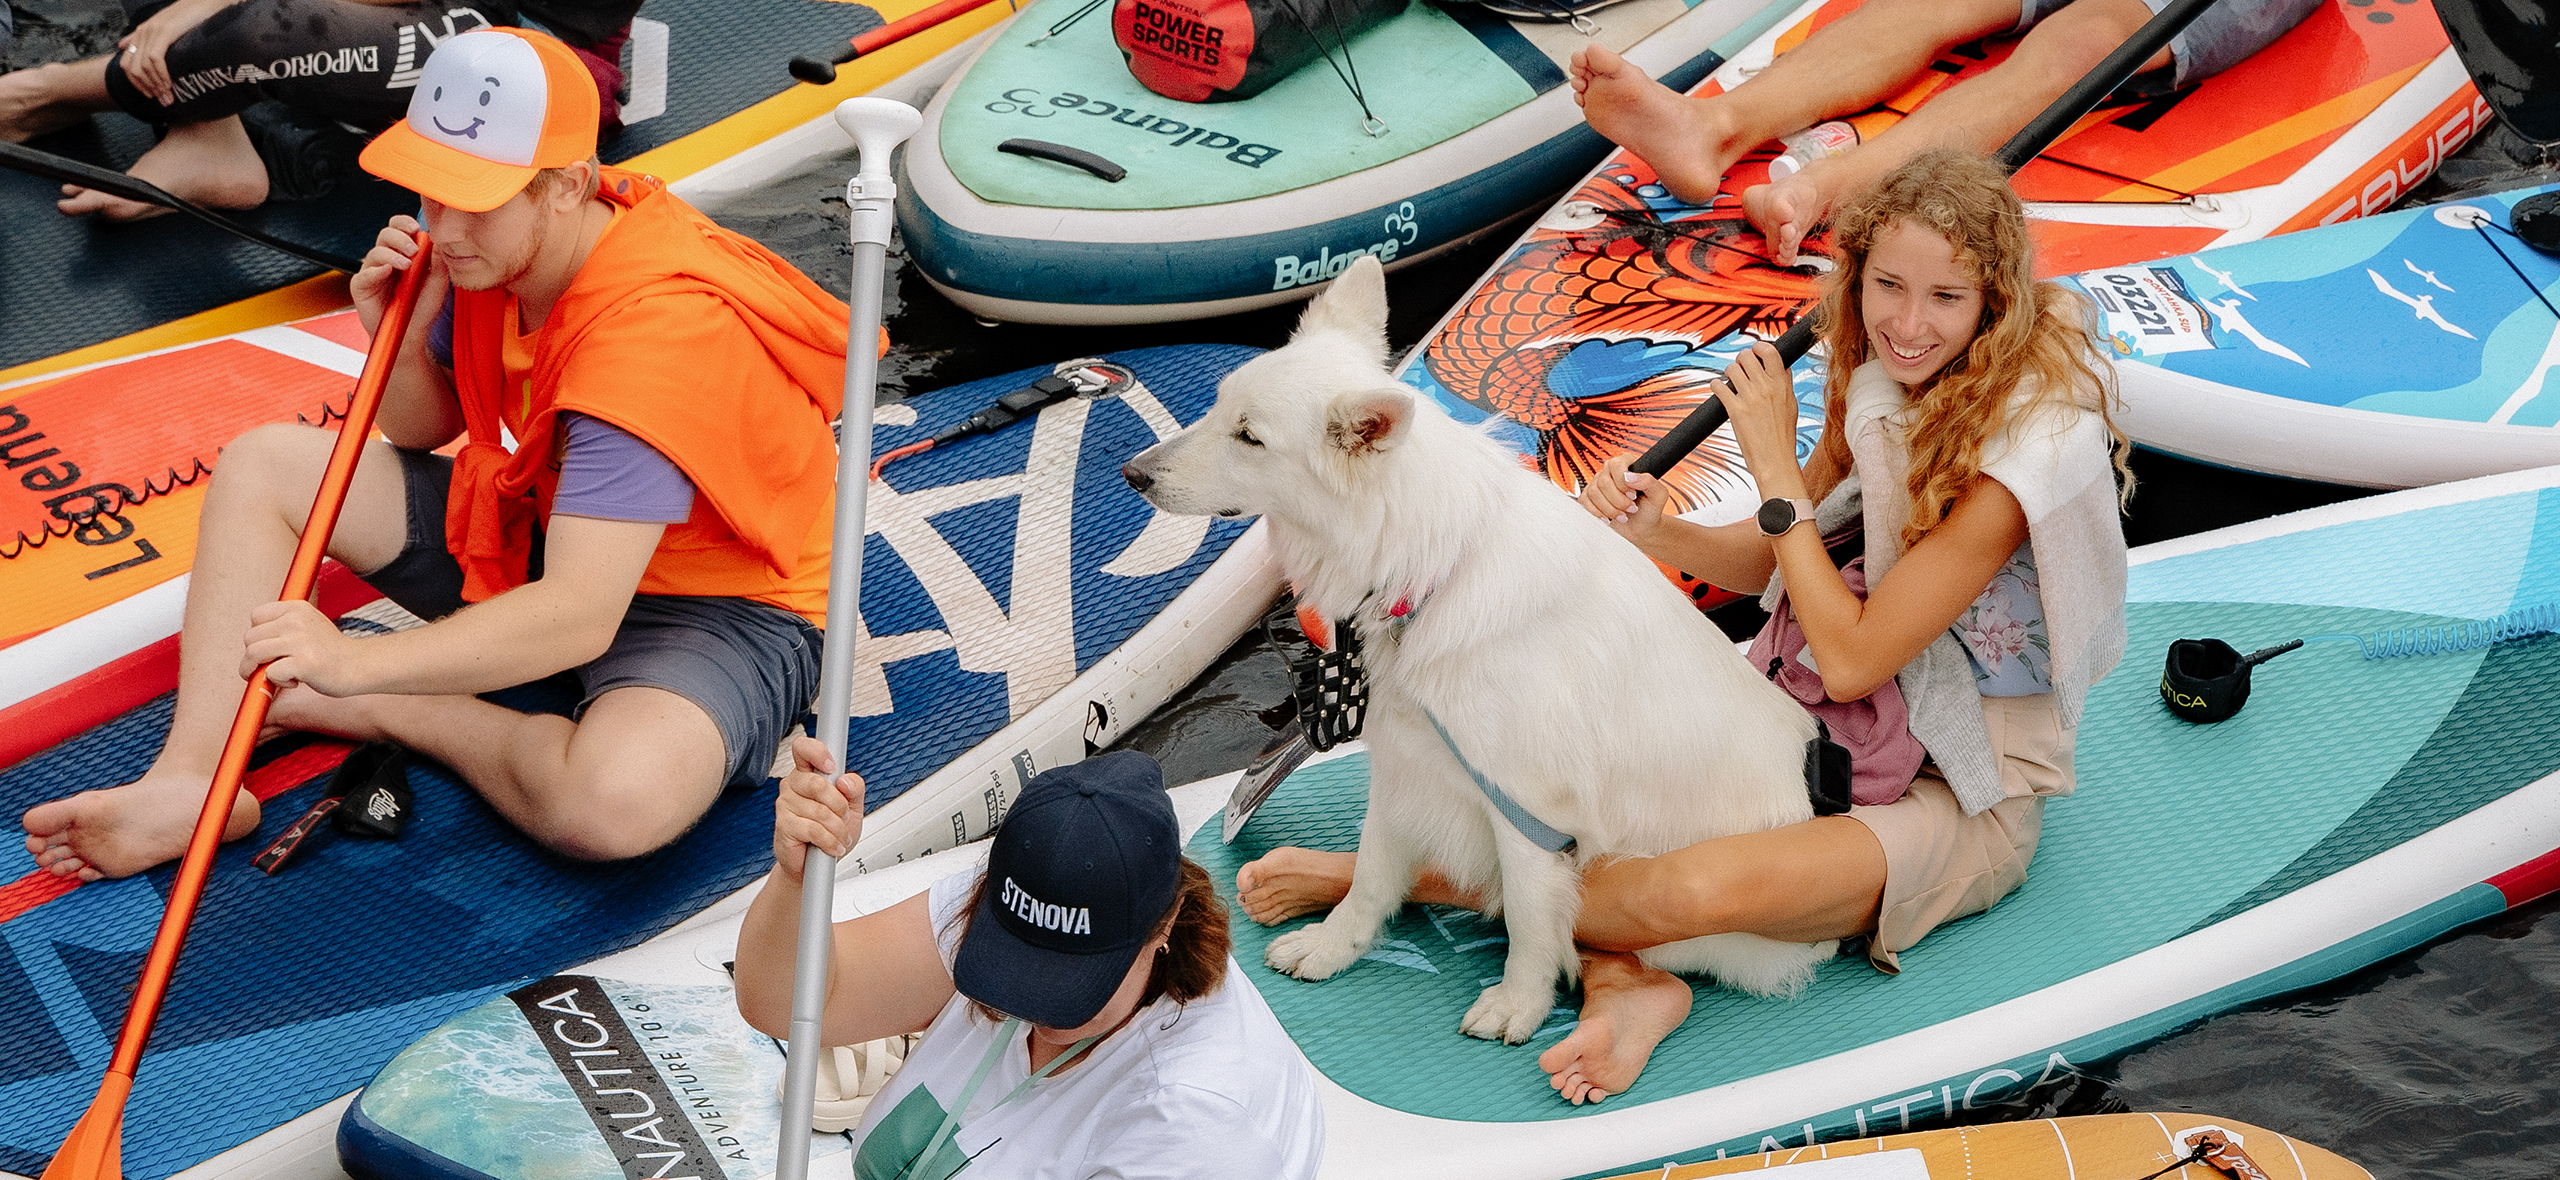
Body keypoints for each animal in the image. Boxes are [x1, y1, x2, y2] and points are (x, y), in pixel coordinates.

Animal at [1121, 257, 1822, 1039]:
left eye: (1249, 437)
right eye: (1218, 408)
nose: (1132, 474)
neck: (1429, 573)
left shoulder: (1527, 806)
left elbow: (1528, 916)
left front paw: (1520, 1002)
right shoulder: (1406, 764)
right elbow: (1373, 872)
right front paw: (1336, 946)